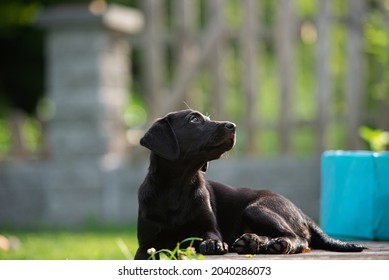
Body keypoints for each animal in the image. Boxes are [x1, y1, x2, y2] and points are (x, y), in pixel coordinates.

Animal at [134, 110, 364, 260]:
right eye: (194, 119)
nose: (233, 126)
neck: (179, 185)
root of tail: (300, 212)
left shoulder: (209, 227)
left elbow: (211, 235)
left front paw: (213, 244)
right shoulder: (145, 247)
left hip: (256, 208)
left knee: (299, 238)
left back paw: (277, 244)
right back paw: (255, 242)